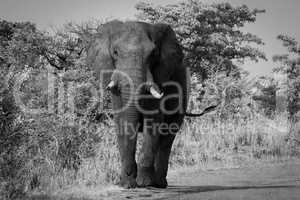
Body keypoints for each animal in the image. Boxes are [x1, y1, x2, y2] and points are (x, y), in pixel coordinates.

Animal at [86, 20, 190, 189]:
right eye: (115, 52)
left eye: (153, 54)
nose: (130, 174)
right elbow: (122, 122)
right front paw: (126, 183)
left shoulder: (159, 77)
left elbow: (153, 123)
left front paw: (144, 183)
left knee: (167, 138)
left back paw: (158, 183)